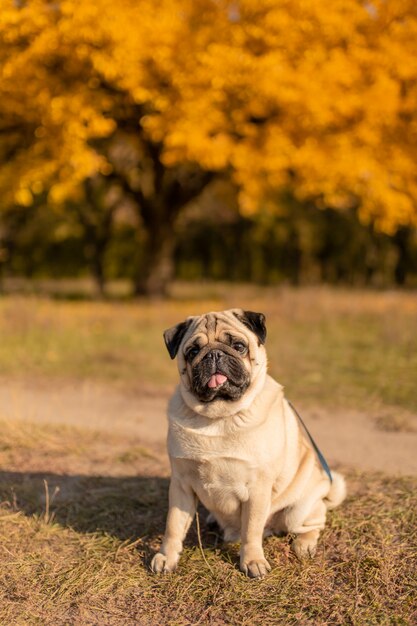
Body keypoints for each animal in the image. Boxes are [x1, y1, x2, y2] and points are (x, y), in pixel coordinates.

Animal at [150, 308, 344, 576]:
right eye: (192, 351)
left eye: (239, 346)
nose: (214, 353)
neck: (218, 416)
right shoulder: (181, 485)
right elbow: (173, 527)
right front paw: (166, 557)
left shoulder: (257, 489)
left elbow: (251, 531)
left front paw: (252, 561)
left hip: (298, 511)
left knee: (314, 523)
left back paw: (304, 544)